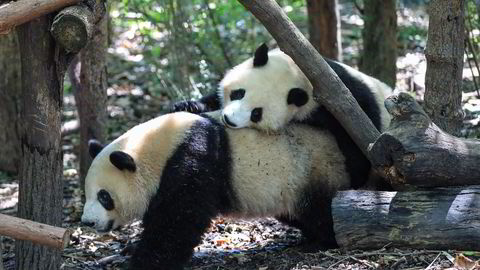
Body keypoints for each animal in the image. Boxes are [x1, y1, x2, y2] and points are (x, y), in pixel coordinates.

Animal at [79, 110, 364, 268]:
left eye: (104, 196)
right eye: (87, 193)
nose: (88, 222)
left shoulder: (192, 160)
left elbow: (177, 222)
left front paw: (144, 261)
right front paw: (132, 249)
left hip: (312, 170)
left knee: (322, 210)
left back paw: (322, 241)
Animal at [172, 42, 394, 190]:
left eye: (256, 113)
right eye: (238, 93)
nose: (229, 120)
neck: (300, 78)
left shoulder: (341, 100)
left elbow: (357, 137)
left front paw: (356, 177)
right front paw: (189, 105)